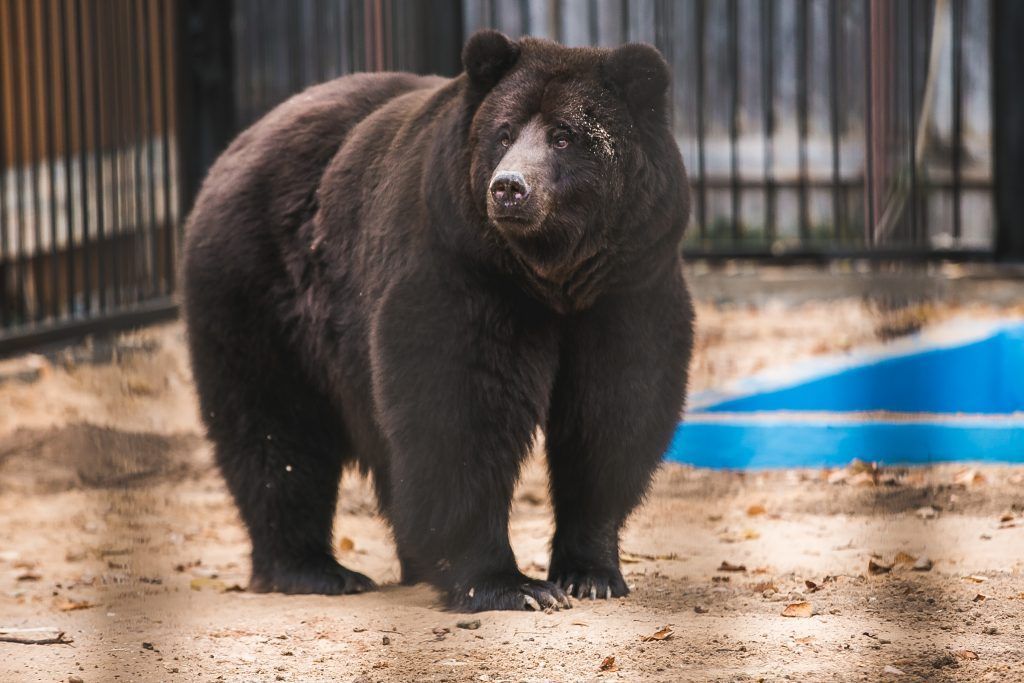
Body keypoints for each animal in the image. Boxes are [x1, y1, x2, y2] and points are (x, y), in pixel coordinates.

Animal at [184, 29, 696, 610]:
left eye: (565, 135)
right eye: (503, 132)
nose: (509, 187)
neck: (551, 280)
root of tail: (239, 144)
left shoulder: (627, 285)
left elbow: (613, 416)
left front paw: (589, 573)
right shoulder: (464, 274)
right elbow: (461, 414)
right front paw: (510, 584)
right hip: (261, 288)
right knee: (276, 428)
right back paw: (315, 568)